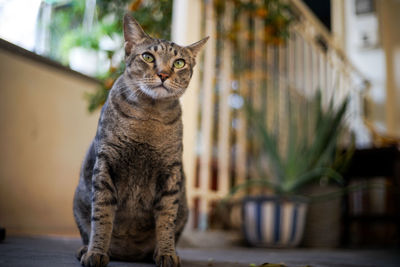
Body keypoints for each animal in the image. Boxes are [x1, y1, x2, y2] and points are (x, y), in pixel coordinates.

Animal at [72, 14, 209, 267]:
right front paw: (96, 252)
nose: (163, 74)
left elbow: (166, 219)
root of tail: (128, 254)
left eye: (179, 63)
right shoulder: (105, 166)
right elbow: (102, 216)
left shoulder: (170, 173)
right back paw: (85, 248)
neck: (149, 118)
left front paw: (166, 252)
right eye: (147, 57)